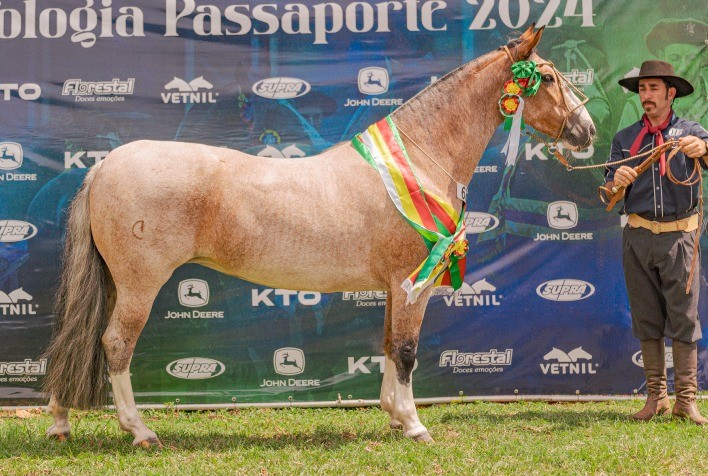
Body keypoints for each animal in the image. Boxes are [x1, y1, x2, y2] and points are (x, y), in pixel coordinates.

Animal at [42, 25, 595, 447]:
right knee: (116, 344)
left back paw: (60, 423)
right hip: (140, 283)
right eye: (547, 77)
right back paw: (140, 431)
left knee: (76, 341)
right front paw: (415, 425)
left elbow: (389, 344)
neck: (419, 156)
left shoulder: (395, 286)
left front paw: (393, 416)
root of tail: (104, 166)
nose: (587, 130)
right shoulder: (411, 283)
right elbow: (407, 351)